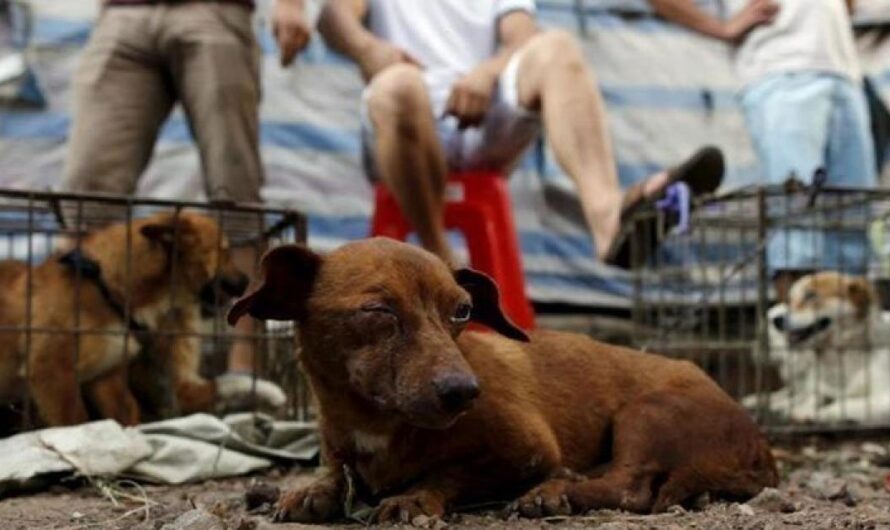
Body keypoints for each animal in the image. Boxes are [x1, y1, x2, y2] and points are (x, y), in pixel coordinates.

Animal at [0, 210, 284, 424]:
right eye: (224, 251)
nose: (250, 281)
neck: (108, 290)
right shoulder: (52, 372)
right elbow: (76, 421)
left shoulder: (105, 376)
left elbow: (125, 413)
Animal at [229, 238, 776, 520]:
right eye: (378, 311)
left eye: (462, 310)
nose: (464, 392)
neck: (375, 423)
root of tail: (761, 450)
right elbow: (333, 468)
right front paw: (311, 489)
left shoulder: (527, 451)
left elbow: (451, 473)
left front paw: (414, 497)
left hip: (646, 410)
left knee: (631, 485)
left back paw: (558, 493)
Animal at [744, 270, 890, 422]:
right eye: (790, 299)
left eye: (810, 295)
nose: (777, 320)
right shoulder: (815, 387)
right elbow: (799, 395)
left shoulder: (885, 400)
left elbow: (841, 404)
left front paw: (809, 412)